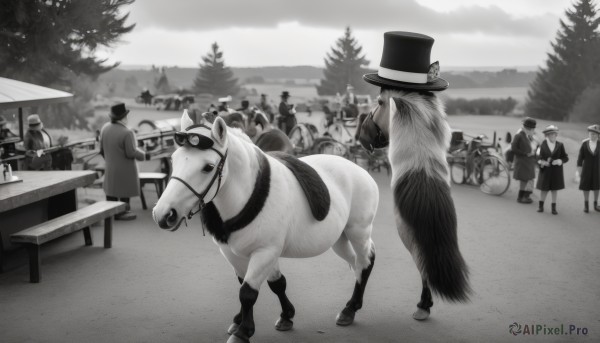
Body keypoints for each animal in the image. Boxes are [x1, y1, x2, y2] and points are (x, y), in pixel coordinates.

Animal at [155, 113, 380, 343]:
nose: (164, 214)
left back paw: (351, 308)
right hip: (339, 239)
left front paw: (243, 331)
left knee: (365, 261)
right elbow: (273, 283)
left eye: (208, 167)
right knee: (355, 263)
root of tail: (359, 170)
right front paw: (283, 315)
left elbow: (248, 292)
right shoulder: (233, 252)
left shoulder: (266, 251)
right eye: (173, 160)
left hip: (358, 231)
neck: (249, 196)